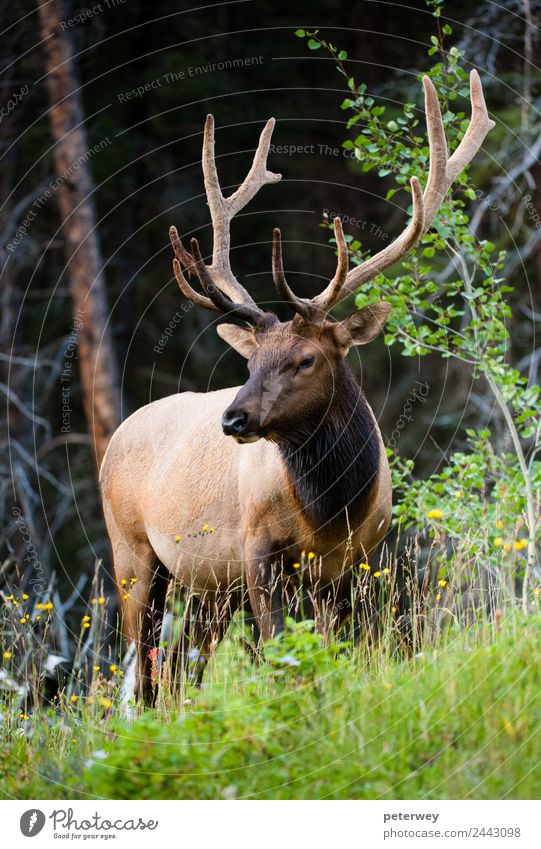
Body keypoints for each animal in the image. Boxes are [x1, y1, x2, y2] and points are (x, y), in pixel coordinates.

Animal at [100, 71, 494, 704]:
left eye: (306, 359)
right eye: (251, 361)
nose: (233, 419)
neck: (327, 511)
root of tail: (117, 435)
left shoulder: (351, 561)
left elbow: (329, 656)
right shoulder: (257, 552)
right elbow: (282, 656)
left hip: (209, 587)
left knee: (181, 667)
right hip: (133, 552)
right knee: (141, 675)